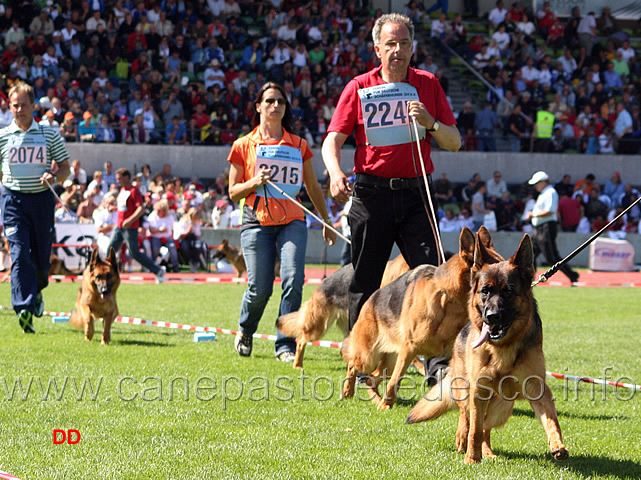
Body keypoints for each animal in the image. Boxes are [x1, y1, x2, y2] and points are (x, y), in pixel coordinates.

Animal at [342, 227, 502, 410]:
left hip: (389, 361)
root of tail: (370, 300)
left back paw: (376, 400)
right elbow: (395, 381)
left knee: (372, 379)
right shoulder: (409, 348)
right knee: (353, 364)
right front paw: (387, 404)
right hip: (369, 357)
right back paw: (348, 391)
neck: (450, 299)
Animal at [408, 234, 568, 464]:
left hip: (502, 408)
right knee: (467, 417)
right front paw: (471, 459)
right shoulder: (478, 391)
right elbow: (474, 428)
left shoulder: (537, 388)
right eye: (485, 291)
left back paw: (488, 452)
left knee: (486, 427)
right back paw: (463, 441)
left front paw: (557, 445)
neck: (502, 348)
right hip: (467, 391)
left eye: (508, 291)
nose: (492, 317)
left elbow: (551, 420)